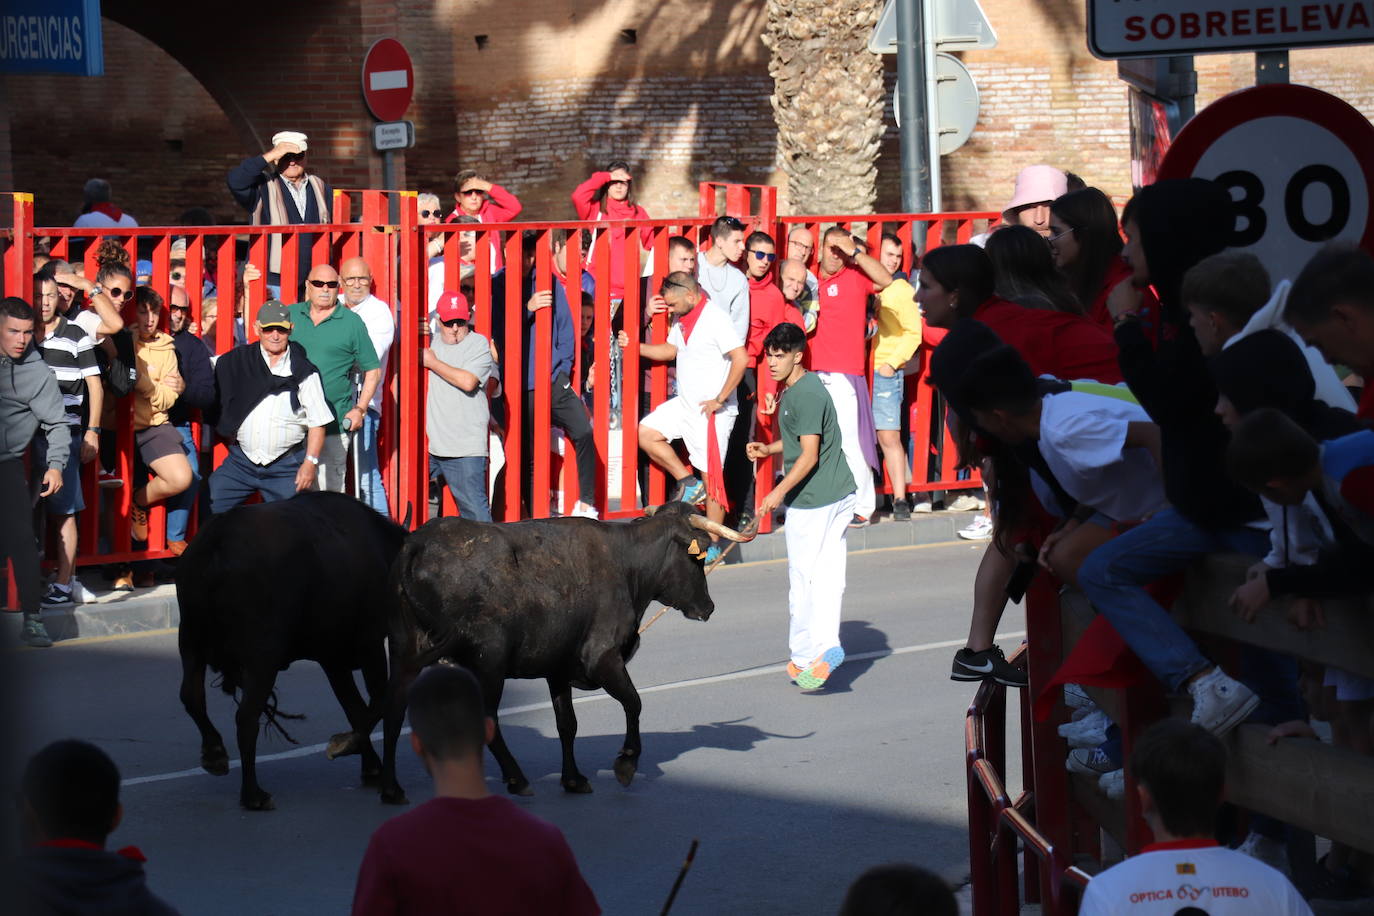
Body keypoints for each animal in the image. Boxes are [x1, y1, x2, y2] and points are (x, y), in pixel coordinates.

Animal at [175, 494, 406, 807]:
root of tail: (217, 540)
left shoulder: (333, 659)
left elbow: (356, 708)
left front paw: (369, 766)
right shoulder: (370, 646)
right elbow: (381, 703)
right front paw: (377, 772)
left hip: (190, 643)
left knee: (192, 697)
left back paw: (215, 754)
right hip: (261, 658)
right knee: (246, 717)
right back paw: (253, 794)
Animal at [376, 502, 752, 802]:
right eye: (697, 558)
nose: (708, 607)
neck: (626, 564)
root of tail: (417, 542)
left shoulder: (557, 667)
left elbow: (567, 724)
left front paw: (573, 779)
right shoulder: (603, 658)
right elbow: (633, 702)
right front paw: (627, 762)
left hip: (405, 652)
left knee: (393, 712)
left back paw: (391, 788)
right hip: (489, 663)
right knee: (485, 718)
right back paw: (516, 778)